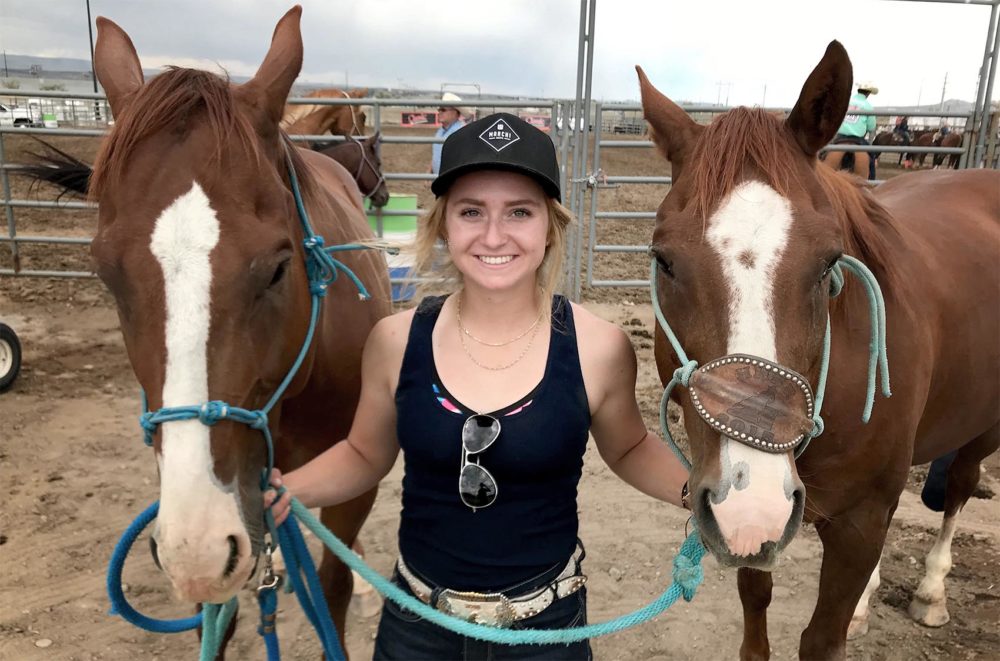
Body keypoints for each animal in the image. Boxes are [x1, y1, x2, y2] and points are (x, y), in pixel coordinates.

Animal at [89, 6, 390, 648]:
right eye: (105, 272)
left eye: (277, 267)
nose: (196, 549)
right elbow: (219, 618)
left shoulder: (356, 479)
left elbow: (331, 588)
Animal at [636, 41, 996, 660]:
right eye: (664, 260)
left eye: (829, 263)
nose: (751, 501)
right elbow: (756, 607)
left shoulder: (858, 522)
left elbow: (822, 638)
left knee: (961, 486)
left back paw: (931, 591)